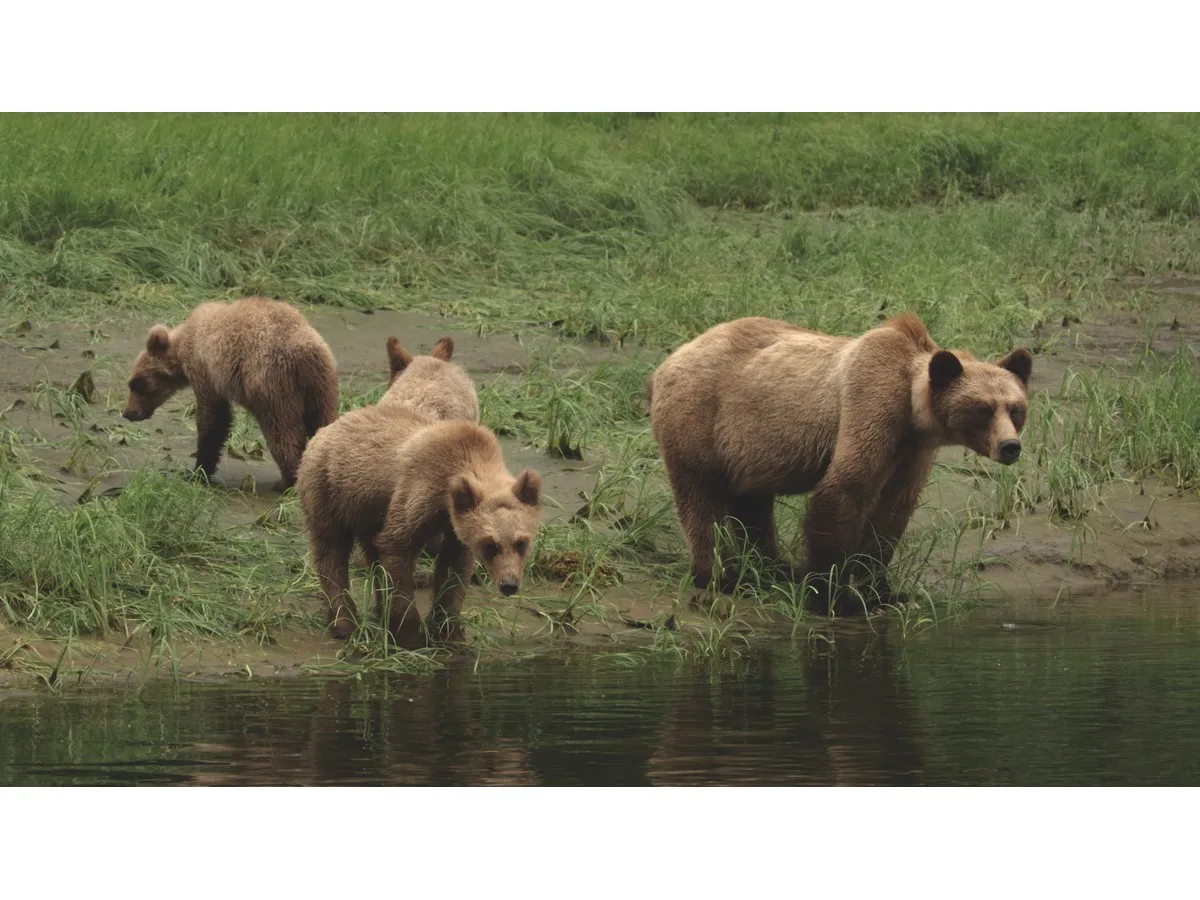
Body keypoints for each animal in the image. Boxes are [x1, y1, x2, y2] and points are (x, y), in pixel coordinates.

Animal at [122, 296, 339, 490]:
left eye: (139, 385)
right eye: (132, 384)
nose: (128, 413)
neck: (182, 346)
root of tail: (304, 349)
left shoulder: (205, 370)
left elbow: (213, 418)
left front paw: (197, 471)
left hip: (271, 380)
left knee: (282, 429)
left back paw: (287, 481)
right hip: (320, 384)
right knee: (323, 420)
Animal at [296, 402, 541, 644]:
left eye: (521, 543)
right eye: (491, 544)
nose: (509, 584)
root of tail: (325, 429)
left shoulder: (454, 525)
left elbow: (454, 568)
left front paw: (449, 632)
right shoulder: (419, 492)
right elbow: (397, 547)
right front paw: (410, 634)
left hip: (369, 508)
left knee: (370, 552)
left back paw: (379, 612)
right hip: (329, 488)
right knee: (331, 550)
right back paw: (345, 623)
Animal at [647, 313, 1032, 612]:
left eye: (1015, 408)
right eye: (983, 409)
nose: (1010, 446)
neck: (913, 410)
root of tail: (667, 362)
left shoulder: (914, 450)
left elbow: (893, 510)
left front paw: (881, 589)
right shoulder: (871, 403)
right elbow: (846, 489)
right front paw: (830, 593)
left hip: (748, 446)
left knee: (750, 503)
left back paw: (771, 569)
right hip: (701, 415)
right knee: (700, 496)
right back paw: (717, 574)